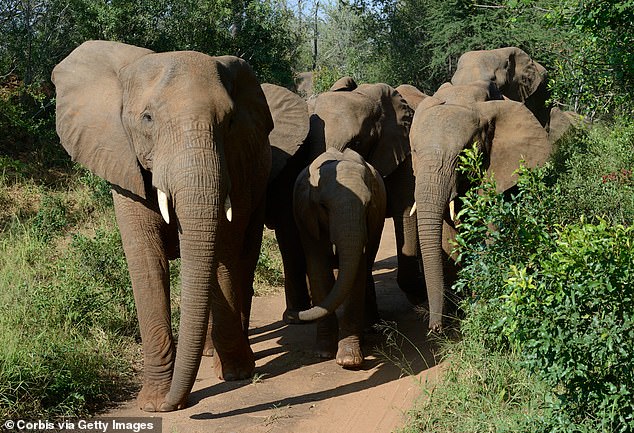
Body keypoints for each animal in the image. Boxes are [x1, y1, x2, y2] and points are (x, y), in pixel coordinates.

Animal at [52, 42, 272, 410]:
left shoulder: (236, 168)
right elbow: (147, 263)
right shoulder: (124, 164)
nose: (177, 403)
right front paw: (154, 403)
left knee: (242, 260)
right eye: (147, 118)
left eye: (229, 122)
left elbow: (222, 250)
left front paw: (237, 375)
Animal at [292, 147, 386, 366]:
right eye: (324, 207)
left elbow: (357, 273)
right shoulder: (308, 222)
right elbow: (319, 271)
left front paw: (349, 361)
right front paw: (323, 353)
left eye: (368, 205)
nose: (295, 316)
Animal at [410, 81, 548, 330]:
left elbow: (491, 234)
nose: (435, 327)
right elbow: (449, 239)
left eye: (462, 156)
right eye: (414, 152)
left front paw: (477, 309)